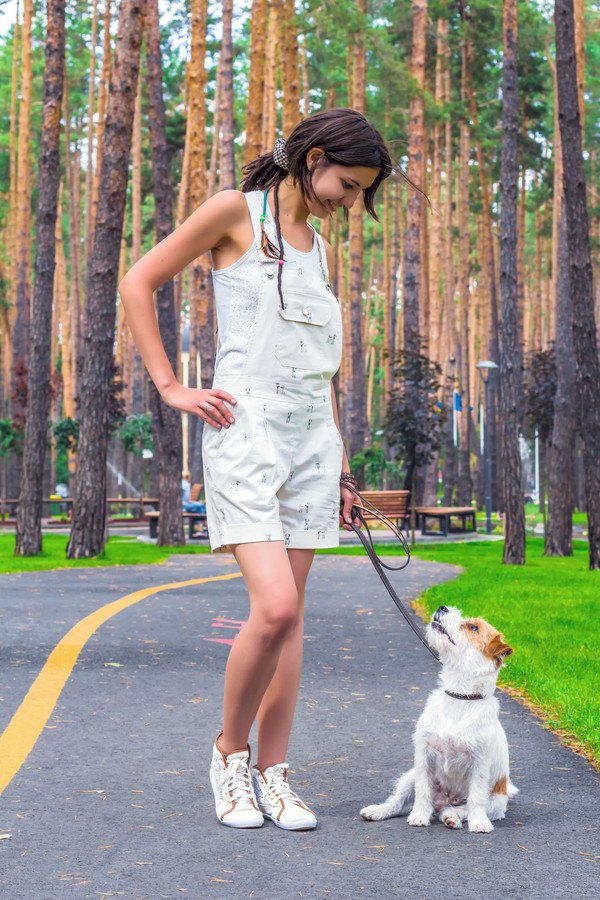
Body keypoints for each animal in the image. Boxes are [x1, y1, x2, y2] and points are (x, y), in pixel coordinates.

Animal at [358, 604, 516, 836]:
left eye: (473, 627)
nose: (443, 607)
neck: (460, 698)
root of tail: (442, 803)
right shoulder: (424, 756)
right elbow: (423, 792)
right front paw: (419, 816)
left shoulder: (479, 763)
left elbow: (476, 799)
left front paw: (479, 823)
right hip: (410, 776)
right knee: (398, 801)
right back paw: (378, 810)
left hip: (495, 802)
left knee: (462, 809)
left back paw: (452, 817)